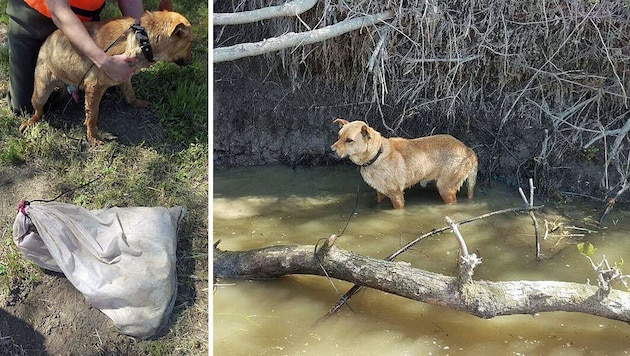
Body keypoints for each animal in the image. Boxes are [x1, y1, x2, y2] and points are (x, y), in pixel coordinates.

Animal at [19, 9, 193, 144]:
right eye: (190, 43)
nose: (191, 61)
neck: (143, 40)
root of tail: (44, 44)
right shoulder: (94, 87)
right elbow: (92, 116)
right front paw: (92, 137)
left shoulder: (124, 77)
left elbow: (130, 94)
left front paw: (136, 103)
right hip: (40, 93)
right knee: (39, 112)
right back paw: (30, 121)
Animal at [334, 119, 476, 209]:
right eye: (338, 137)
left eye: (349, 140)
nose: (331, 150)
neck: (377, 154)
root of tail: (467, 149)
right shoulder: (380, 192)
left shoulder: (396, 195)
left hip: (445, 189)